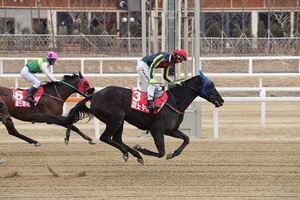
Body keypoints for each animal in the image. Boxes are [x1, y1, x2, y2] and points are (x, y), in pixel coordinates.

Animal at [41, 70, 223, 164]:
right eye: (210, 85)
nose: (221, 100)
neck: (174, 101)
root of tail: (95, 95)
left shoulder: (171, 130)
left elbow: (186, 139)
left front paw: (173, 153)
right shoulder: (157, 130)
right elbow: (161, 152)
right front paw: (143, 149)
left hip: (120, 120)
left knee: (116, 139)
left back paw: (133, 154)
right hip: (116, 118)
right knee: (106, 138)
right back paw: (133, 153)